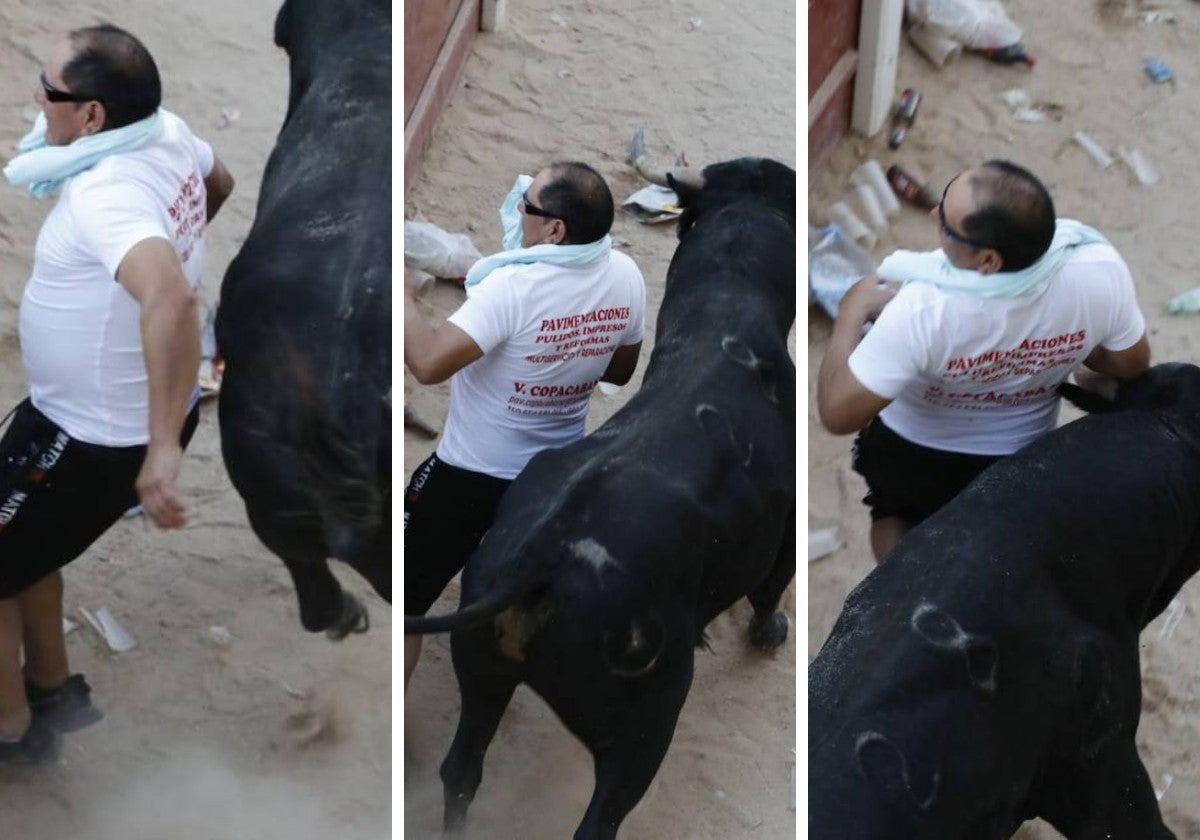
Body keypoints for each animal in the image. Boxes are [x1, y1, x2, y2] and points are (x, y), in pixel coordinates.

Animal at [408, 159, 801, 840]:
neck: (728, 301)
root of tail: (542, 560)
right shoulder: (788, 528)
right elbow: (774, 583)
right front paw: (769, 632)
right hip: (646, 722)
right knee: (601, 817)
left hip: (484, 670)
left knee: (462, 770)